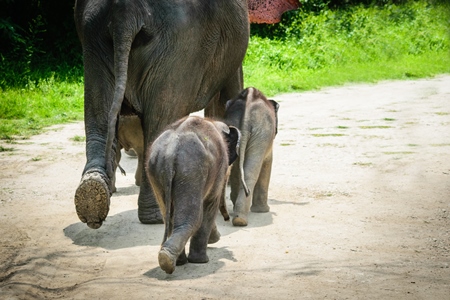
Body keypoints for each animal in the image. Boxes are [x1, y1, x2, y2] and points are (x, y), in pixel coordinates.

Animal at [147, 115, 239, 274]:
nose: (227, 218)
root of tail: (170, 151)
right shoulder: (218, 169)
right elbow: (209, 206)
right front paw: (202, 260)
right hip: (191, 171)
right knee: (193, 217)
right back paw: (169, 261)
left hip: (156, 171)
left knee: (169, 217)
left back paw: (172, 260)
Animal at [221, 88, 280, 226]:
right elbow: (267, 163)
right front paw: (263, 211)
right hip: (262, 133)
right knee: (251, 172)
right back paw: (241, 219)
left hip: (233, 130)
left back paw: (238, 217)